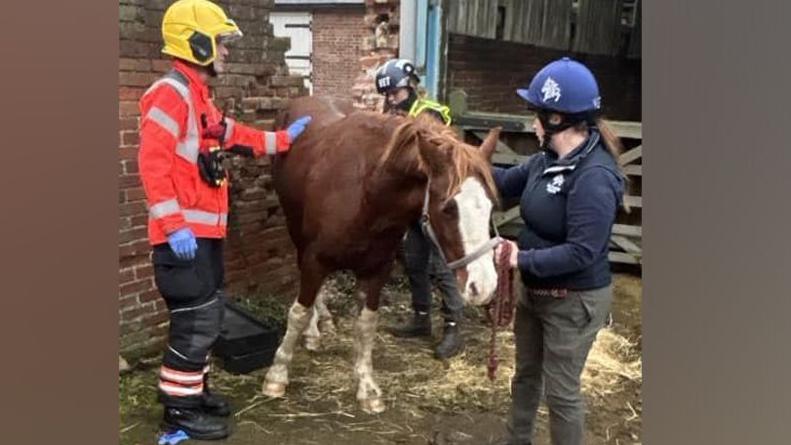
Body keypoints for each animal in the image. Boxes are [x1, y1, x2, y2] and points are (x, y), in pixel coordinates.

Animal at [262, 96, 504, 412]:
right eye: (448, 208)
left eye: (490, 205)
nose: (484, 286)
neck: (366, 191)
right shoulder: (316, 259)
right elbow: (298, 313)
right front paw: (277, 374)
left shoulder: (377, 269)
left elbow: (366, 326)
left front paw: (367, 387)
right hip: (296, 231)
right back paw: (313, 330)